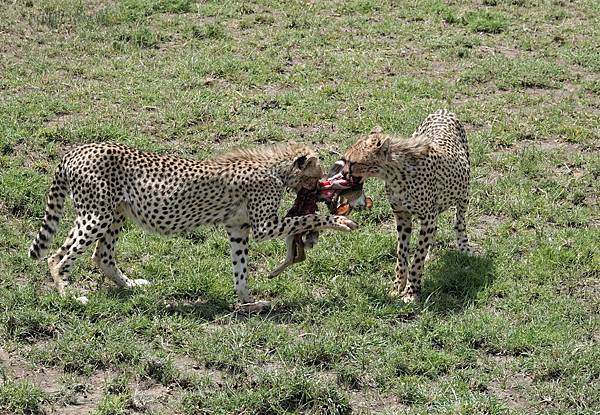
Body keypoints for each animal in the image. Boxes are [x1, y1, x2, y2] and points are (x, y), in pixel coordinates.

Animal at [29, 142, 356, 308]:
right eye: (316, 176)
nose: (322, 188)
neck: (275, 167)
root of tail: (77, 149)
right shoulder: (265, 226)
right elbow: (307, 218)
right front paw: (339, 221)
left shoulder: (238, 228)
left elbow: (240, 268)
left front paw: (248, 301)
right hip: (97, 215)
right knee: (57, 257)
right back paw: (70, 295)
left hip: (114, 213)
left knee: (102, 256)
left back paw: (130, 285)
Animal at [340, 109, 472, 306]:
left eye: (353, 162)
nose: (342, 173)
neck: (394, 174)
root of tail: (443, 110)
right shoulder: (401, 215)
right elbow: (402, 254)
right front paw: (397, 287)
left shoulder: (427, 217)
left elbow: (417, 258)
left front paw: (411, 292)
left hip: (463, 192)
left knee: (460, 221)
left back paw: (464, 246)